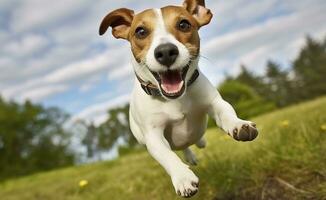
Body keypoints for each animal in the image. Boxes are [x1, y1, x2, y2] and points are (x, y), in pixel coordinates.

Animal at [98, 0, 258, 197]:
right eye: (140, 31)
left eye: (184, 24)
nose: (166, 51)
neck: (174, 99)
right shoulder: (153, 135)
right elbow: (166, 155)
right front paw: (183, 177)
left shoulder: (214, 102)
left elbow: (226, 111)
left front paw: (239, 125)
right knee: (181, 148)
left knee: (194, 141)